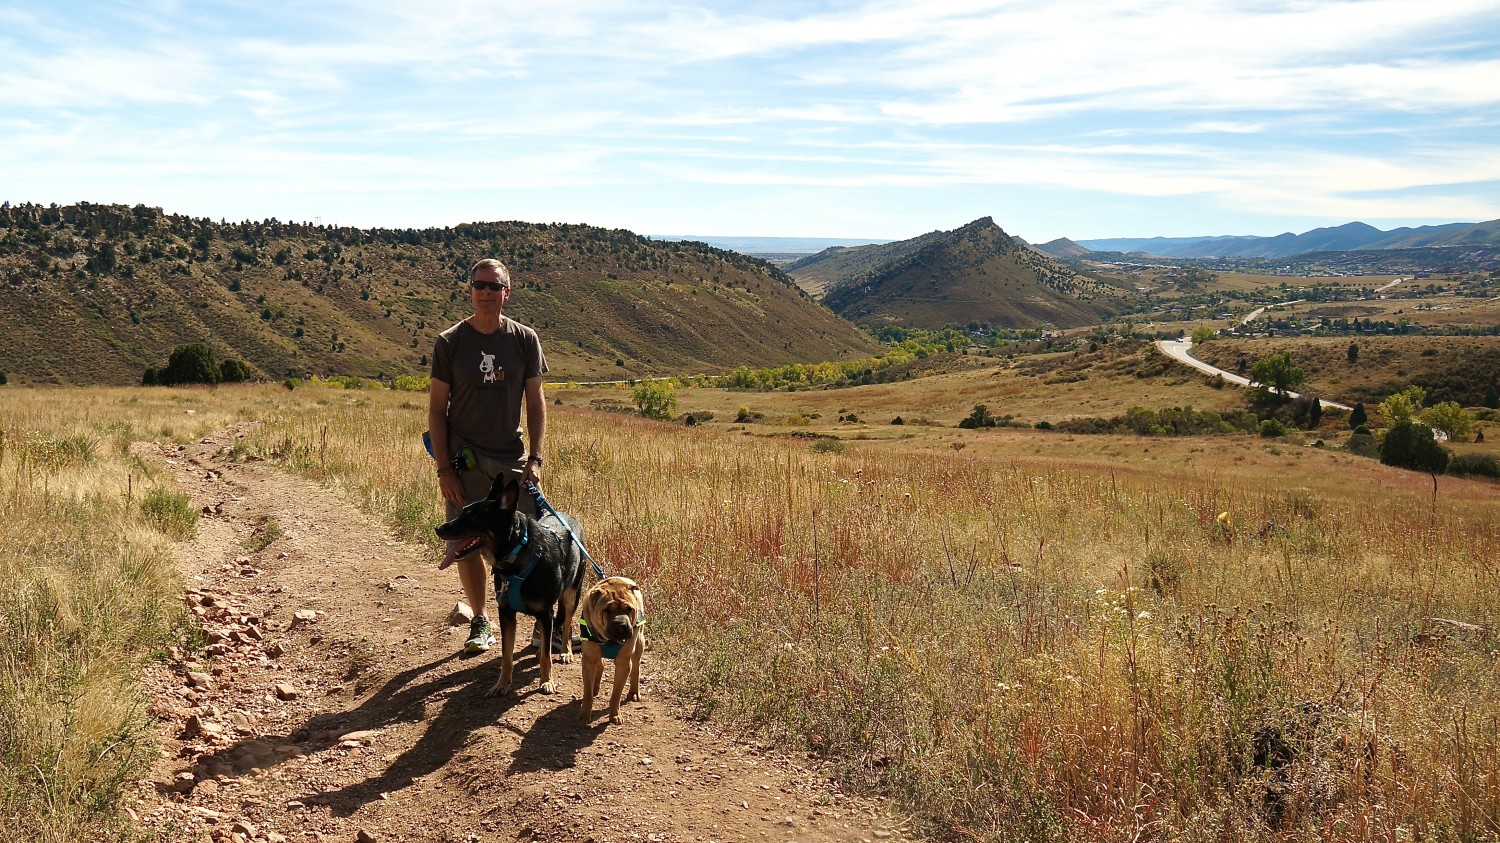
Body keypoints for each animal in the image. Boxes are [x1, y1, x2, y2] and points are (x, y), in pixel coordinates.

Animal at [435, 477, 585, 693]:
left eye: (472, 518)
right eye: (462, 512)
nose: (438, 528)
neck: (516, 554)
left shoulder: (545, 612)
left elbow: (547, 656)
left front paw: (547, 681)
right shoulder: (506, 613)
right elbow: (507, 655)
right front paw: (502, 684)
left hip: (572, 593)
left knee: (566, 623)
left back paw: (566, 651)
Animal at [576, 573, 642, 726]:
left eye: (629, 609)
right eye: (607, 610)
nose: (621, 625)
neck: (609, 641)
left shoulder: (623, 664)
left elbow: (616, 694)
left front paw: (615, 715)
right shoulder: (589, 660)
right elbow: (587, 693)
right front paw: (584, 714)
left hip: (639, 643)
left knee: (636, 667)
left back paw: (634, 692)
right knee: (600, 665)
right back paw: (595, 687)